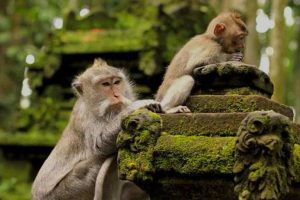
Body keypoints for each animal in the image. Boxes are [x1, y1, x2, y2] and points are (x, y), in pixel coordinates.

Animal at [31, 58, 161, 200]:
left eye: (116, 82)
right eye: (105, 84)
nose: (117, 95)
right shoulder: (86, 118)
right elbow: (100, 145)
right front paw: (136, 105)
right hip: (64, 193)